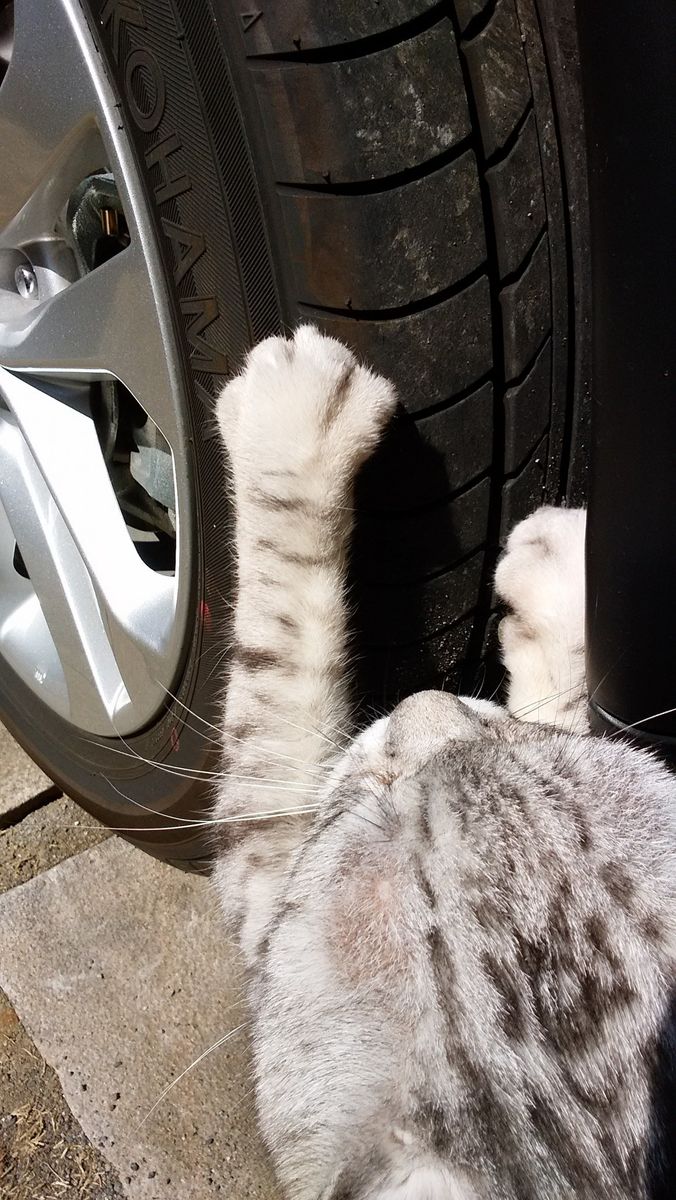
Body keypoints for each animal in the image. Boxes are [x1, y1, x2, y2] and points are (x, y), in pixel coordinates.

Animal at [211, 326, 672, 1200]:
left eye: (384, 819)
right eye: (544, 758)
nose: (424, 702)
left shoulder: (264, 902)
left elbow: (274, 674)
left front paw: (292, 426)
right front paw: (561, 576)